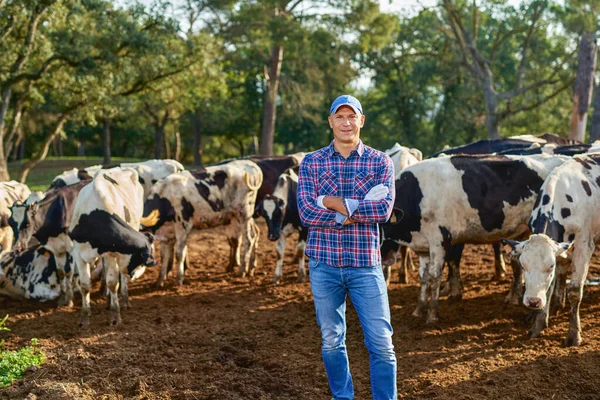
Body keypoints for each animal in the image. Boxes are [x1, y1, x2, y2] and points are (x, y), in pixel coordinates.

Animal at [68, 167, 157, 326]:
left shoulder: (112, 253)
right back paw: (109, 300)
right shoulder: (78, 252)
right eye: (141, 260)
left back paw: (124, 299)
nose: (132, 274)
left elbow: (112, 282)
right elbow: (85, 285)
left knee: (118, 278)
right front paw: (84, 317)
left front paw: (116, 316)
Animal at [142, 159, 264, 288]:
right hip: (241, 216)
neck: (165, 196)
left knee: (249, 239)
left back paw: (243, 270)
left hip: (244, 213)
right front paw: (160, 281)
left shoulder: (183, 226)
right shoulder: (167, 234)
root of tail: (249, 163)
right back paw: (251, 269)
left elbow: (179, 254)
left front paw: (179, 279)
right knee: (255, 233)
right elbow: (164, 257)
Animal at [382, 152, 568, 322]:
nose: (384, 259)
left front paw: (432, 315)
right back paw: (514, 297)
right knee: (518, 264)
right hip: (524, 233)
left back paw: (557, 301)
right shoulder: (422, 247)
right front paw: (419, 309)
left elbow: (434, 277)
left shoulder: (439, 241)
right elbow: (423, 277)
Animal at [502, 155, 600, 346]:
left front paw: (574, 334)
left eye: (550, 266)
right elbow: (550, 285)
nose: (533, 301)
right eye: (523, 266)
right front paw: (539, 323)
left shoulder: (584, 245)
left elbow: (575, 291)